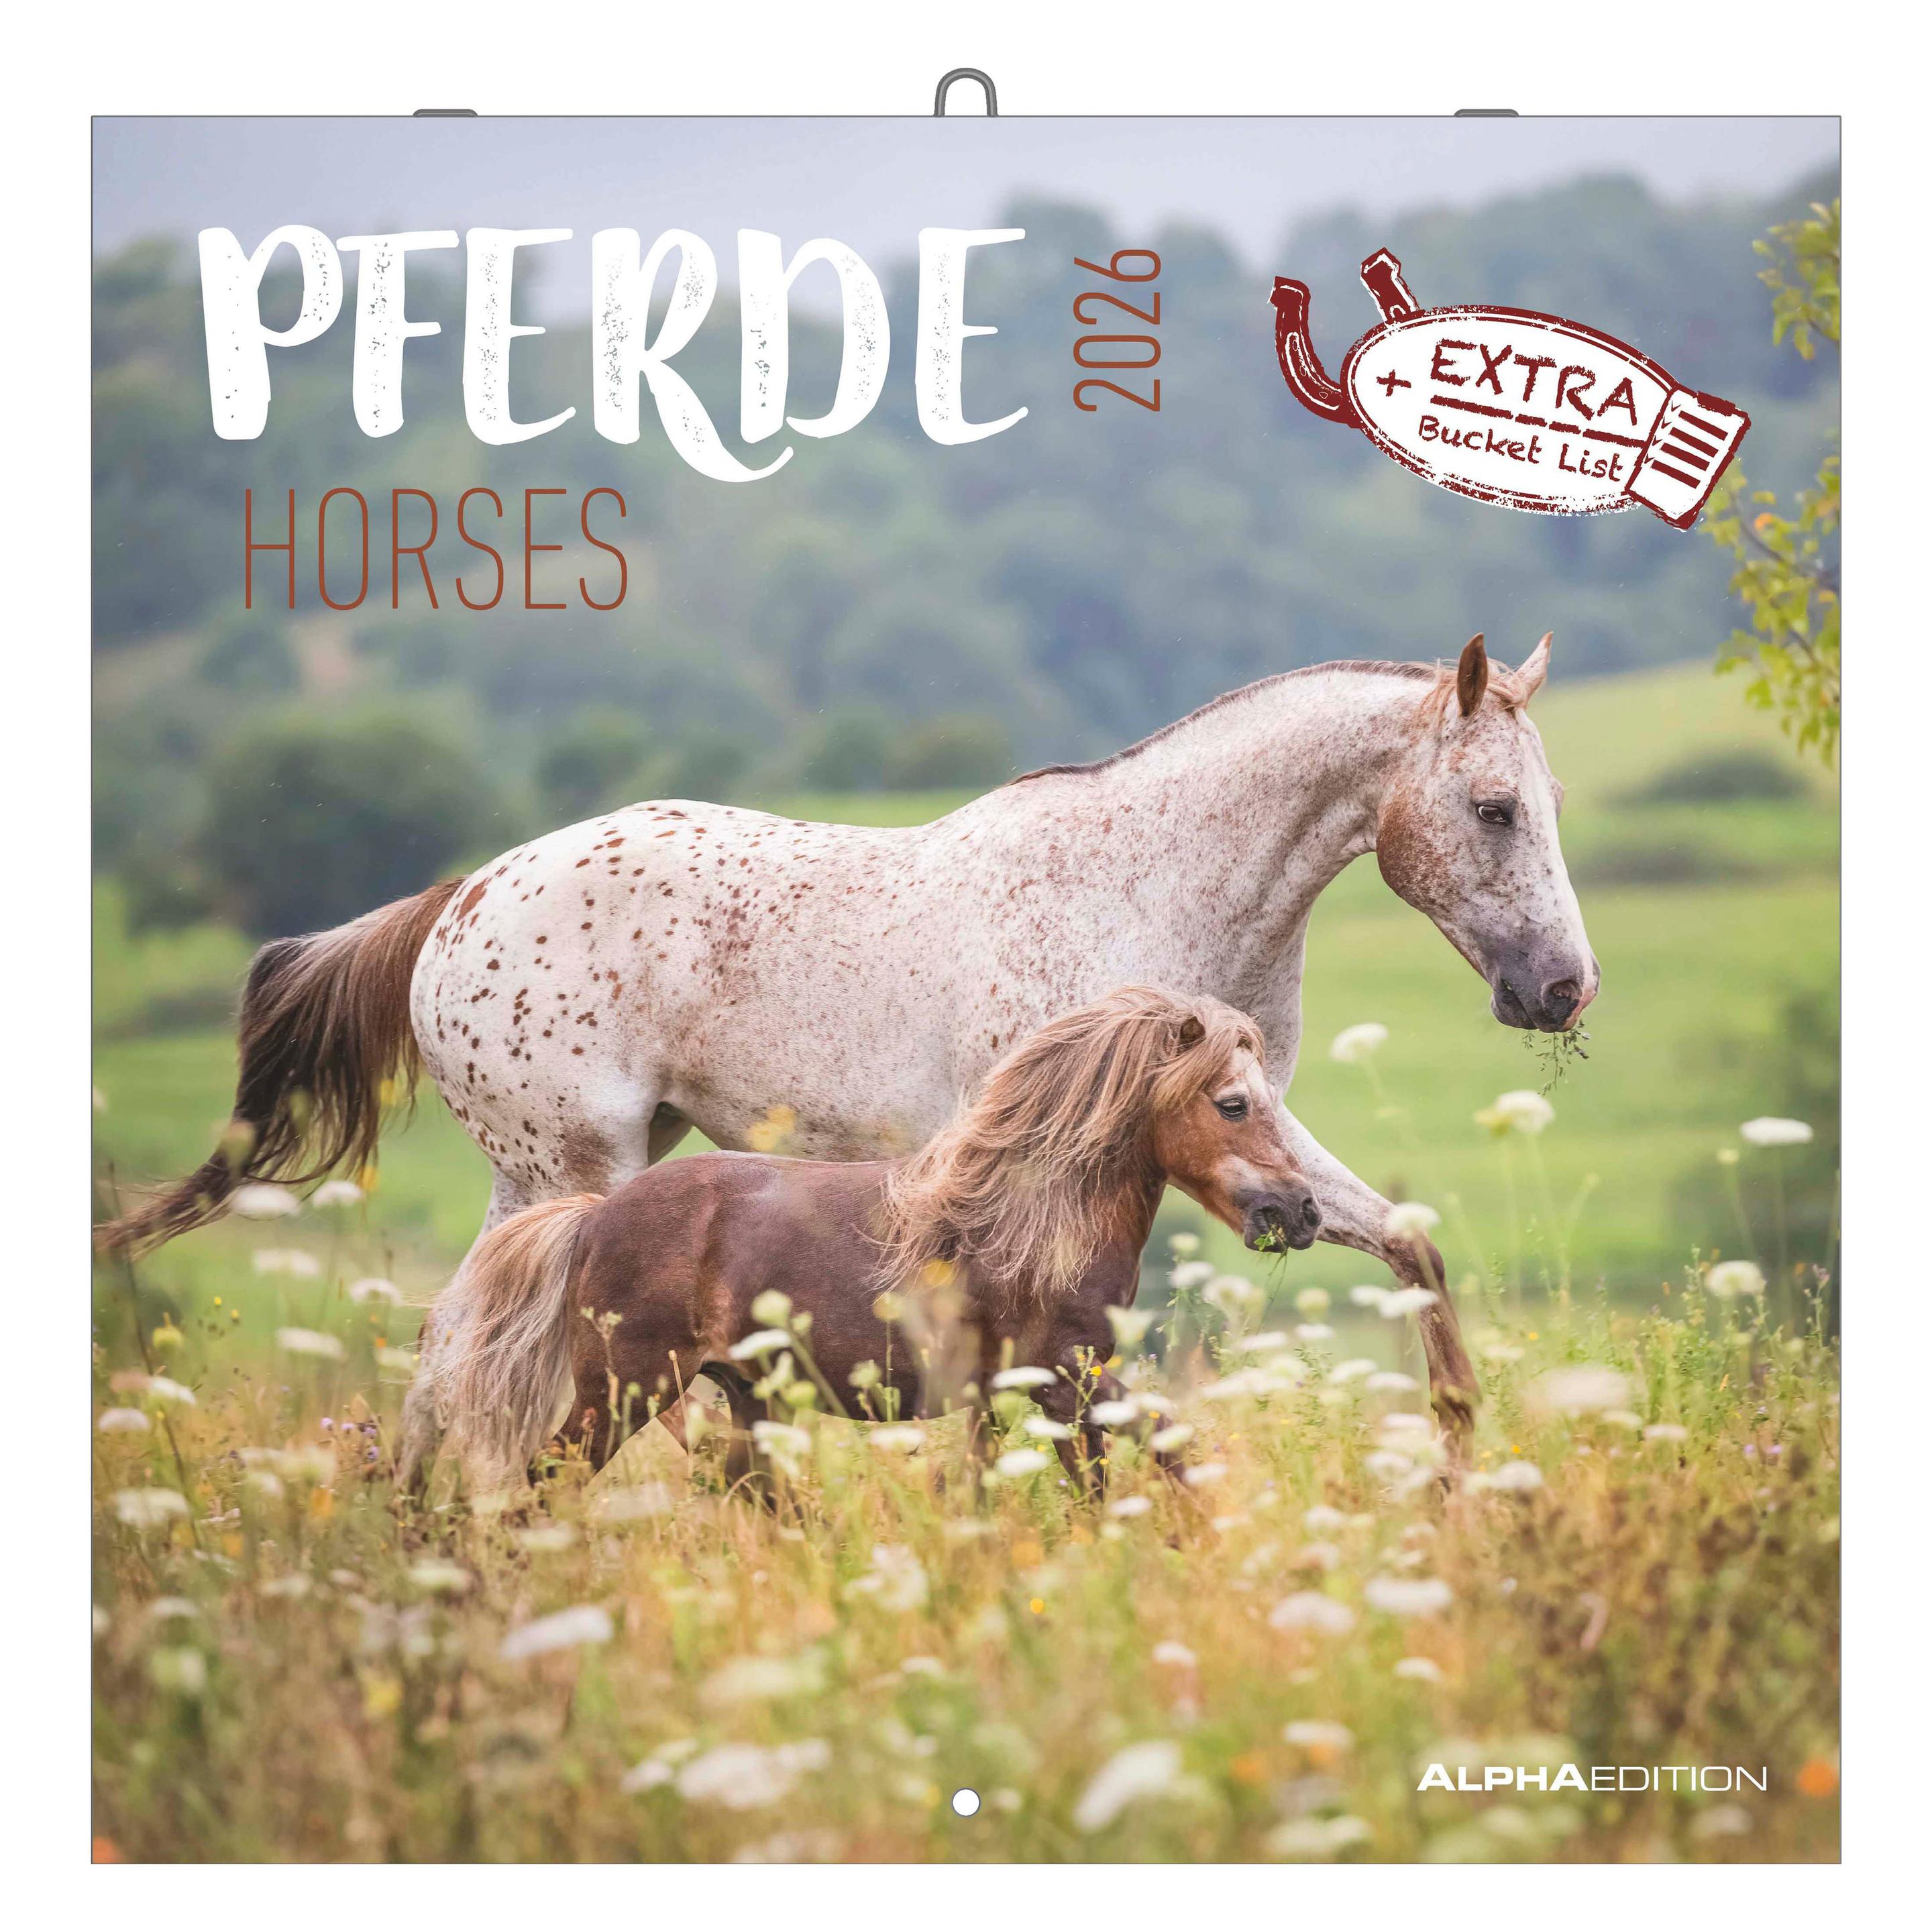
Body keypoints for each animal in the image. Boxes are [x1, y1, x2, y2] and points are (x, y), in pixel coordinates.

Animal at [427, 986, 1318, 1496]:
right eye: (1234, 1103)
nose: (1303, 1212)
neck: (1030, 1225)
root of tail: (591, 1218)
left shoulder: (1034, 1394)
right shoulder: (1066, 1384)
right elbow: (1130, 1474)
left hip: (741, 1399)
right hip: (624, 1392)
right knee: (547, 1481)